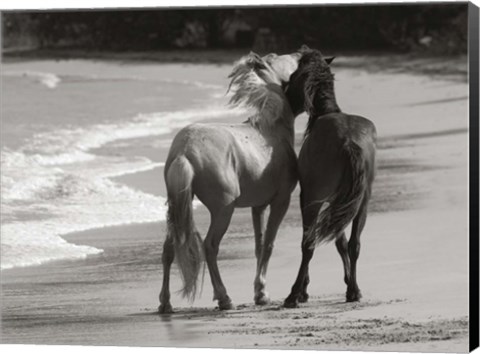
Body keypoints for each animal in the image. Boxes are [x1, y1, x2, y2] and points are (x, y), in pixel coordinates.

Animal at [159, 52, 298, 312]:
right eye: (284, 60)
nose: (300, 52)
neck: (270, 130)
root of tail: (185, 150)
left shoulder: (258, 206)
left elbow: (259, 245)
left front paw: (260, 292)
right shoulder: (280, 201)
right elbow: (269, 244)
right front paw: (262, 294)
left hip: (176, 208)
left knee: (169, 248)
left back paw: (165, 303)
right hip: (224, 210)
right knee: (210, 246)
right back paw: (224, 298)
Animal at [284, 47, 376, 306]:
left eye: (293, 75)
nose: (285, 94)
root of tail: (348, 141)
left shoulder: (310, 196)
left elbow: (315, 241)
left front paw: (303, 290)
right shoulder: (339, 202)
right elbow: (341, 242)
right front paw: (348, 283)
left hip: (313, 200)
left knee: (308, 244)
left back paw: (293, 294)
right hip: (361, 202)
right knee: (355, 244)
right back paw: (354, 291)